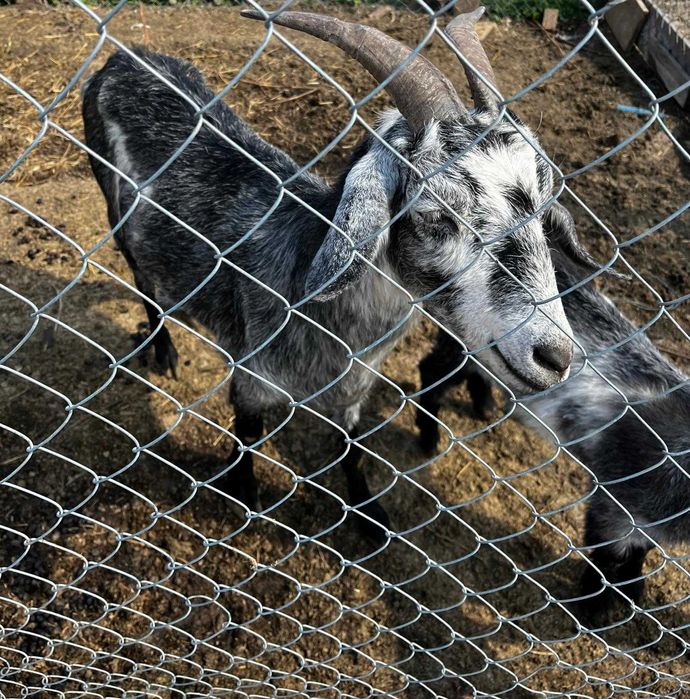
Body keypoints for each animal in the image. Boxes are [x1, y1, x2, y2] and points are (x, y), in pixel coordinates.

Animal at [82, 8, 594, 538]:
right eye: (436, 214)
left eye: (544, 209)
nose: (555, 357)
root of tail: (124, 59)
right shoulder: (251, 376)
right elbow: (246, 436)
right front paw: (242, 494)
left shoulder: (353, 390)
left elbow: (351, 447)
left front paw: (368, 514)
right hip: (114, 210)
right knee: (141, 277)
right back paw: (162, 348)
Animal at [416, 205, 690, 612]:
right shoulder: (620, 500)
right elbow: (606, 555)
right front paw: (593, 609)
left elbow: (639, 553)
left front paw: (635, 591)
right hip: (462, 344)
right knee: (431, 371)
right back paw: (430, 440)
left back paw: (485, 408)